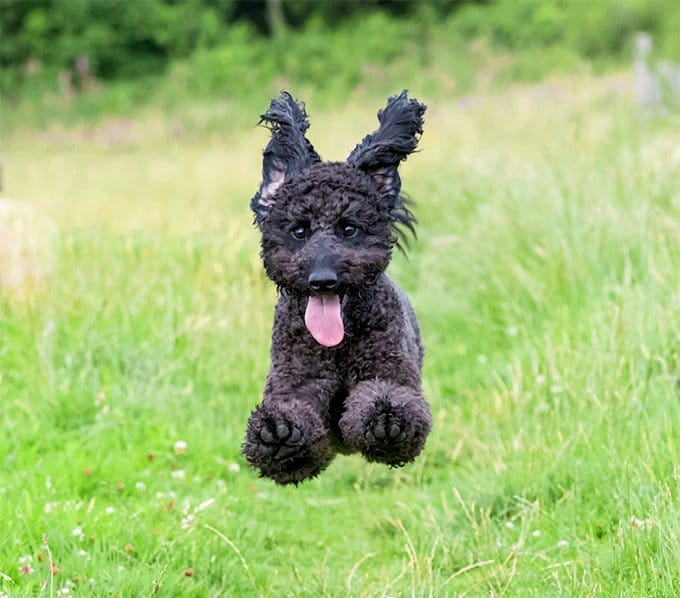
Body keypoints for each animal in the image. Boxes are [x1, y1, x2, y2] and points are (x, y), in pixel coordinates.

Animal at [242, 91, 430, 486]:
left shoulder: (391, 372)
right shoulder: (297, 382)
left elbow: (392, 400)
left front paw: (386, 419)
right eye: (299, 230)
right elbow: (295, 418)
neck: (337, 348)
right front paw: (278, 436)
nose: (323, 279)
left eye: (349, 229)